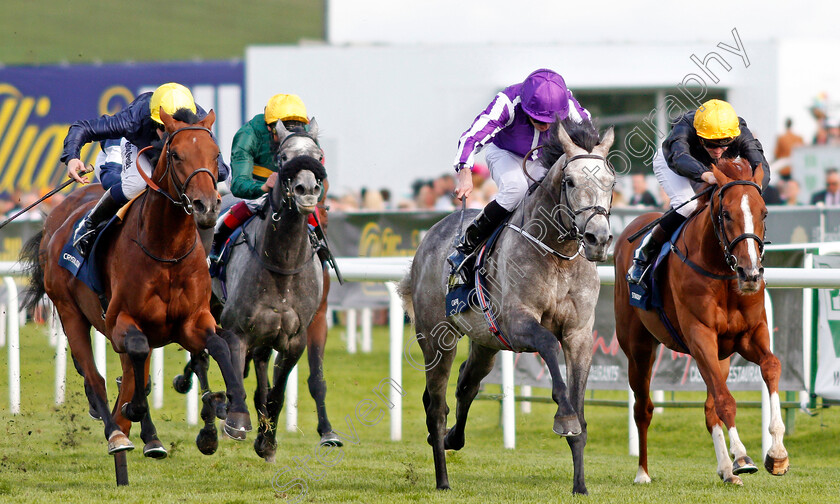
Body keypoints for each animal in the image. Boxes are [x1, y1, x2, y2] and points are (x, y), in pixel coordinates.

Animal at [21, 108, 251, 458]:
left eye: (216, 155)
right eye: (175, 154)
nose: (207, 206)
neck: (167, 251)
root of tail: (54, 221)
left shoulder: (191, 322)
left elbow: (219, 346)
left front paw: (233, 415)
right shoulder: (121, 321)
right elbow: (137, 362)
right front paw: (133, 411)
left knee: (130, 373)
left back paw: (146, 434)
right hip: (70, 311)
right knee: (96, 377)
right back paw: (117, 432)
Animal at [400, 119, 616, 496]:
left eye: (612, 182)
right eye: (571, 182)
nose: (598, 239)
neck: (557, 254)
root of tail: (430, 236)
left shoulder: (579, 335)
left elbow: (580, 409)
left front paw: (580, 485)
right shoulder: (517, 324)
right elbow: (548, 344)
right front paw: (564, 417)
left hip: (485, 342)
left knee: (466, 384)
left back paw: (454, 439)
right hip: (436, 340)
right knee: (436, 406)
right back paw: (442, 477)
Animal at [612, 158, 788, 488]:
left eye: (764, 213)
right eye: (726, 214)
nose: (750, 274)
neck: (722, 270)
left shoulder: (749, 335)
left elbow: (771, 367)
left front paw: (777, 453)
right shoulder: (700, 335)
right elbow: (725, 400)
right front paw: (742, 457)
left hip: (721, 357)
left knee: (708, 409)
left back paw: (726, 470)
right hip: (638, 347)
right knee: (643, 407)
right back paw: (643, 472)